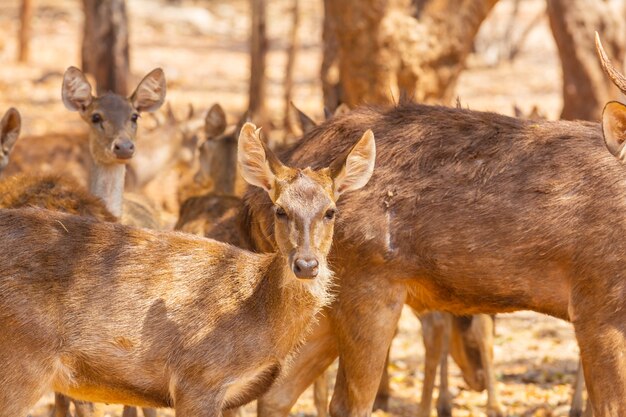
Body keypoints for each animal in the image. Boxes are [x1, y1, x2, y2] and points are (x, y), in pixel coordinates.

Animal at [233, 35, 624, 416]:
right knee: (345, 403)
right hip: (366, 283)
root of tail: (263, 194)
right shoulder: (594, 305)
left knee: (276, 394)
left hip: (325, 300)